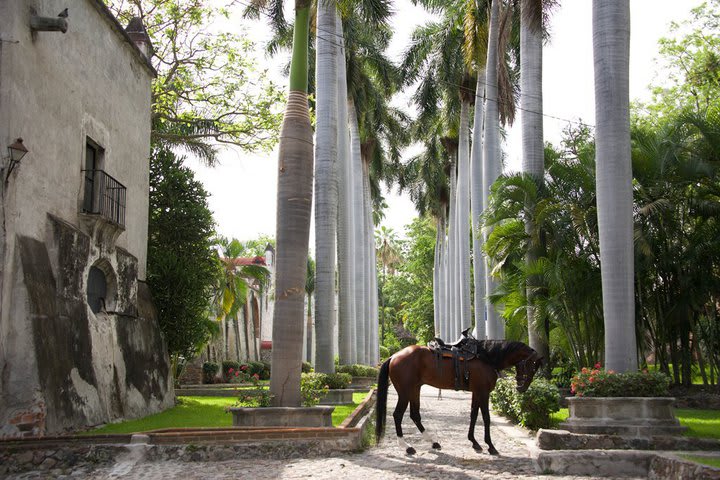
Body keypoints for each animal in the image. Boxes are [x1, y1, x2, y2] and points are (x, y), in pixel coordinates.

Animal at [376, 340, 540, 456]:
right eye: (533, 365)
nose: (522, 388)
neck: (486, 357)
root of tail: (394, 356)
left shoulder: (477, 392)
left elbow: (474, 415)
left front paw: (474, 442)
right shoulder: (483, 392)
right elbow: (486, 418)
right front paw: (490, 446)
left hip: (415, 389)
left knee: (415, 414)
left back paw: (433, 442)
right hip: (405, 392)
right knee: (398, 415)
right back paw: (406, 447)